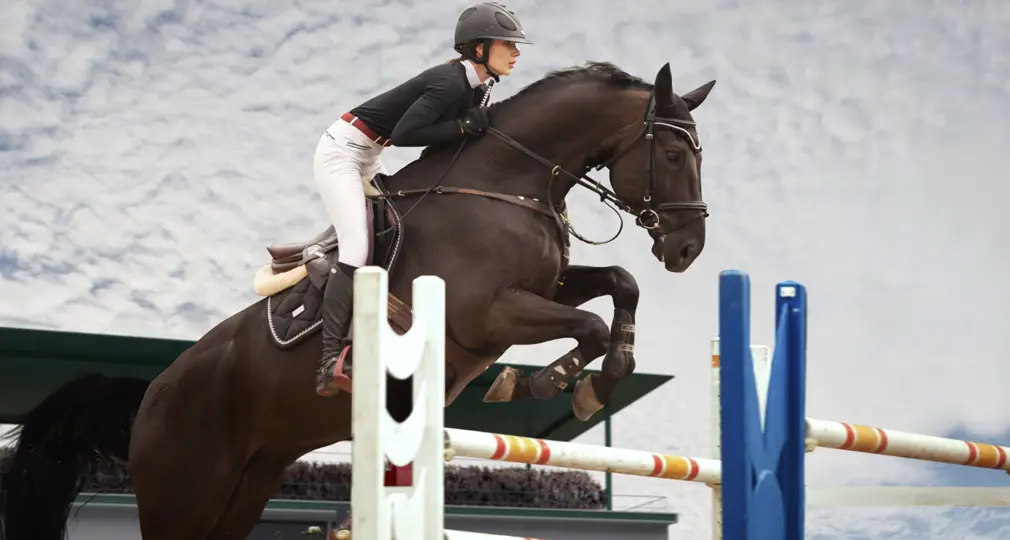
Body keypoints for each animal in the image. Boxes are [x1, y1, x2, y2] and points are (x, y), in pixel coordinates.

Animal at [0, 60, 715, 539]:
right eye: (674, 153)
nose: (688, 249)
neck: (508, 180)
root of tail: (150, 393)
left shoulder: (541, 287)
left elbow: (619, 284)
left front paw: (605, 375)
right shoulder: (489, 314)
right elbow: (587, 323)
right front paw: (549, 382)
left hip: (245, 485)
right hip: (186, 491)